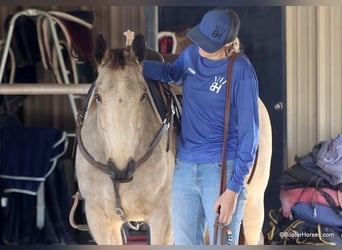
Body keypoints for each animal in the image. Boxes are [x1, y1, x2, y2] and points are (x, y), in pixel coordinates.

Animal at [73, 34, 272, 245]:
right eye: (98, 96)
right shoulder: (101, 222)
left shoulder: (163, 219)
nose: (121, 168)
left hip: (253, 205)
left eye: (143, 96)